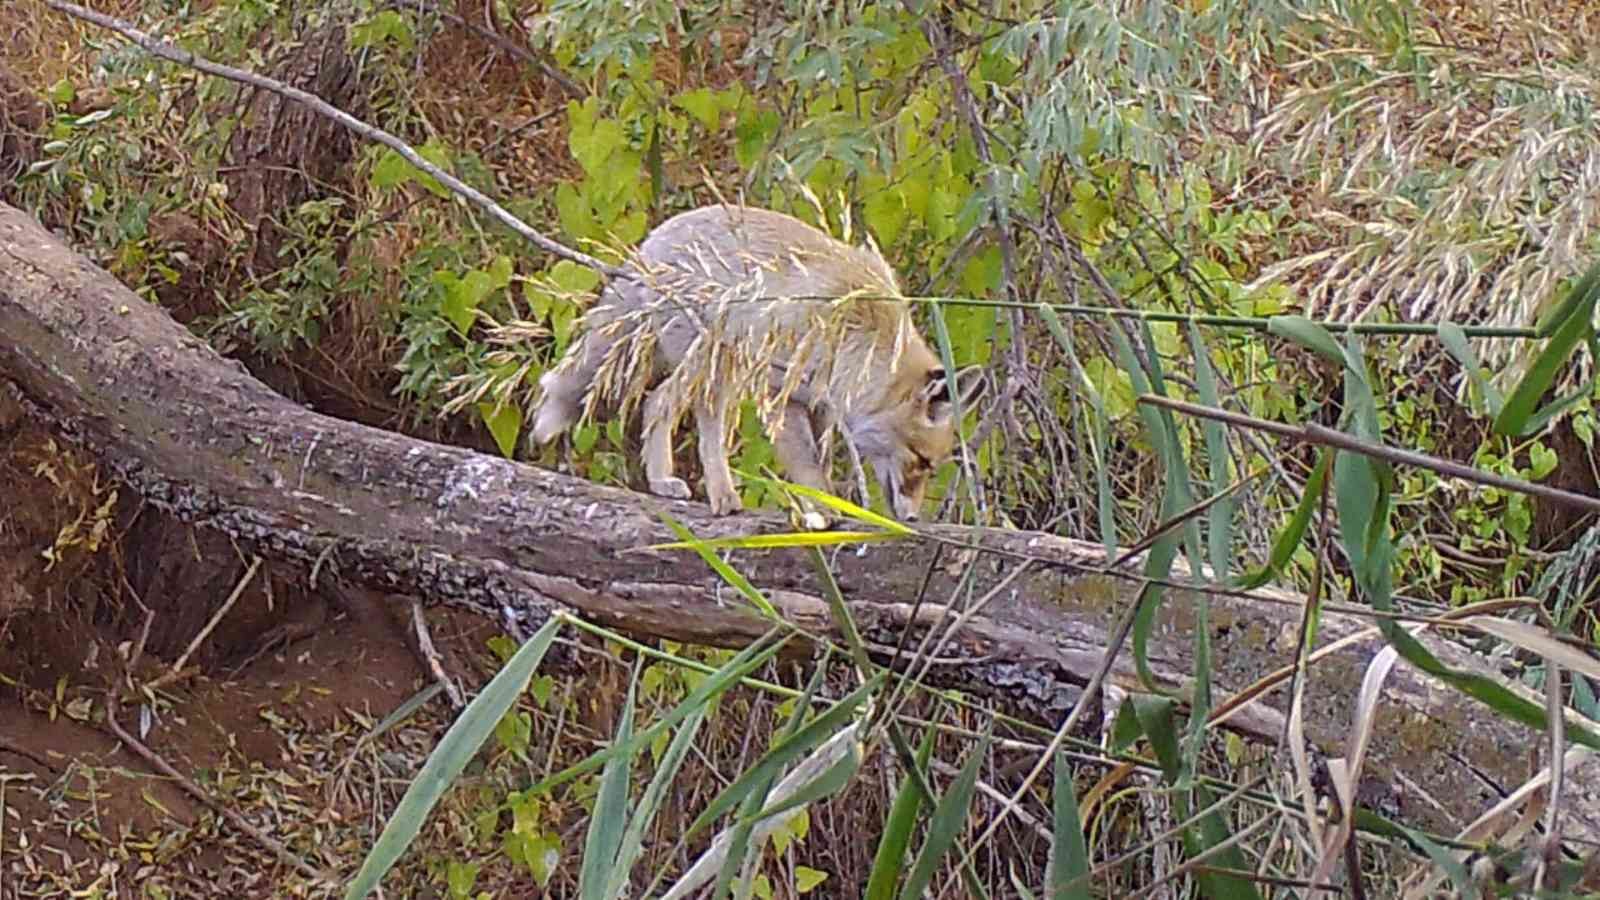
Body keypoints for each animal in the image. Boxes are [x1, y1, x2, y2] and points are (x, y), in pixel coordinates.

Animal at [531, 202, 979, 518]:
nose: (912, 518)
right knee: (662, 405)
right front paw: (824, 514)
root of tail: (651, 241)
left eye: (932, 467)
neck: (859, 339)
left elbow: (819, 464)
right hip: (715, 364)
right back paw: (695, 489)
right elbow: (808, 468)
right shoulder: (781, 392)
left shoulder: (821, 404)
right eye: (921, 461)